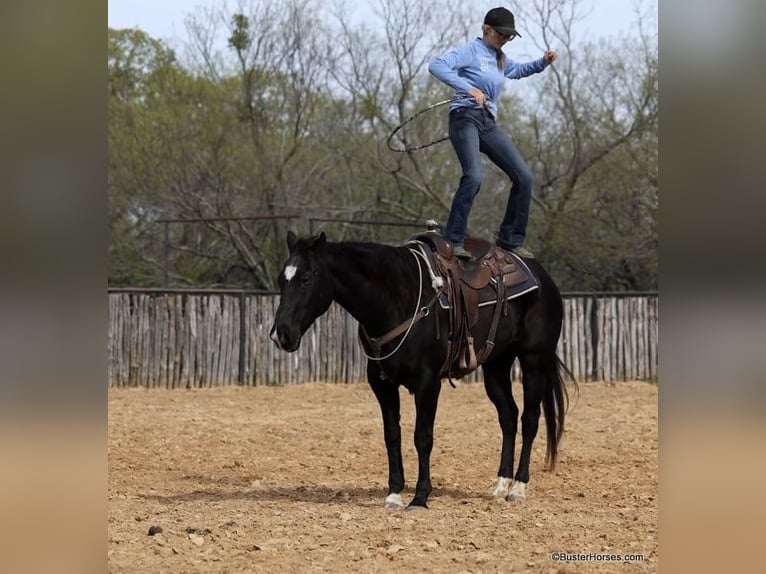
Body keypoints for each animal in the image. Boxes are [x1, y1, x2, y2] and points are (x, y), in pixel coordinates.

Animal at [272, 232, 572, 510]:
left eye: (307, 278)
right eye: (281, 280)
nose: (280, 335)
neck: (396, 297)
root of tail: (541, 276)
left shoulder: (428, 384)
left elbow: (422, 437)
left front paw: (420, 496)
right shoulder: (381, 384)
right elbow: (392, 435)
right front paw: (394, 494)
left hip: (534, 360)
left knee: (530, 419)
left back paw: (518, 487)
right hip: (496, 366)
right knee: (508, 417)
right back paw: (501, 484)